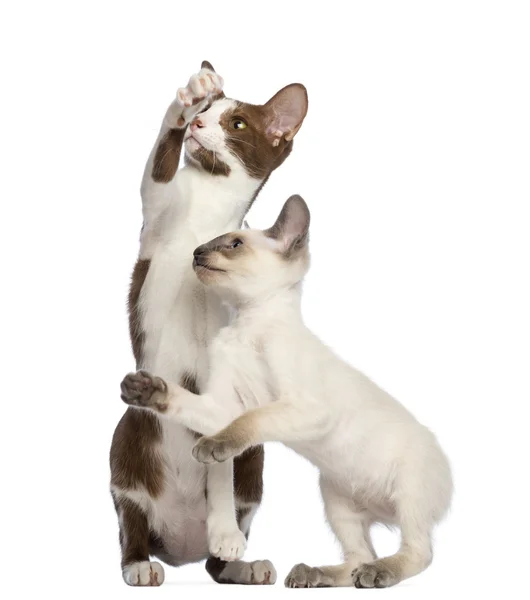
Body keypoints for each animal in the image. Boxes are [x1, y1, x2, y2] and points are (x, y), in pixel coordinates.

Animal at [109, 62, 308, 584]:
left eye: (236, 123)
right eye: (207, 112)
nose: (199, 122)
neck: (206, 209)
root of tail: (179, 547)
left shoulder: (226, 384)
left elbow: (219, 464)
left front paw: (226, 534)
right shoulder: (157, 215)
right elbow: (158, 165)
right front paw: (192, 93)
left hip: (255, 462)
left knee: (219, 549)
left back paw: (238, 558)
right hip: (126, 438)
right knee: (130, 516)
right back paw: (139, 564)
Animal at [119, 195, 450, 588]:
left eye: (233, 245)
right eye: (210, 244)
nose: (197, 253)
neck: (247, 325)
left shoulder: (301, 409)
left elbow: (250, 421)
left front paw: (212, 448)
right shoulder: (223, 406)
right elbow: (199, 408)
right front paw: (147, 390)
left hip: (407, 492)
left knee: (417, 552)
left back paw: (378, 573)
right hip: (337, 500)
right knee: (359, 556)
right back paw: (314, 573)